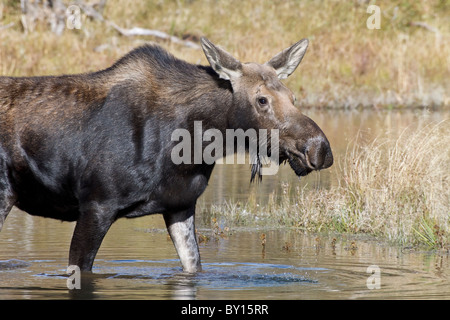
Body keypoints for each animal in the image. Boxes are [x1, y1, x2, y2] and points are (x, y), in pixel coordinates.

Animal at [0, 37, 330, 272]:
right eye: (262, 99)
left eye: (293, 97)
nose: (320, 148)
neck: (195, 146)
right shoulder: (97, 204)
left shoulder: (180, 206)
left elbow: (194, 266)